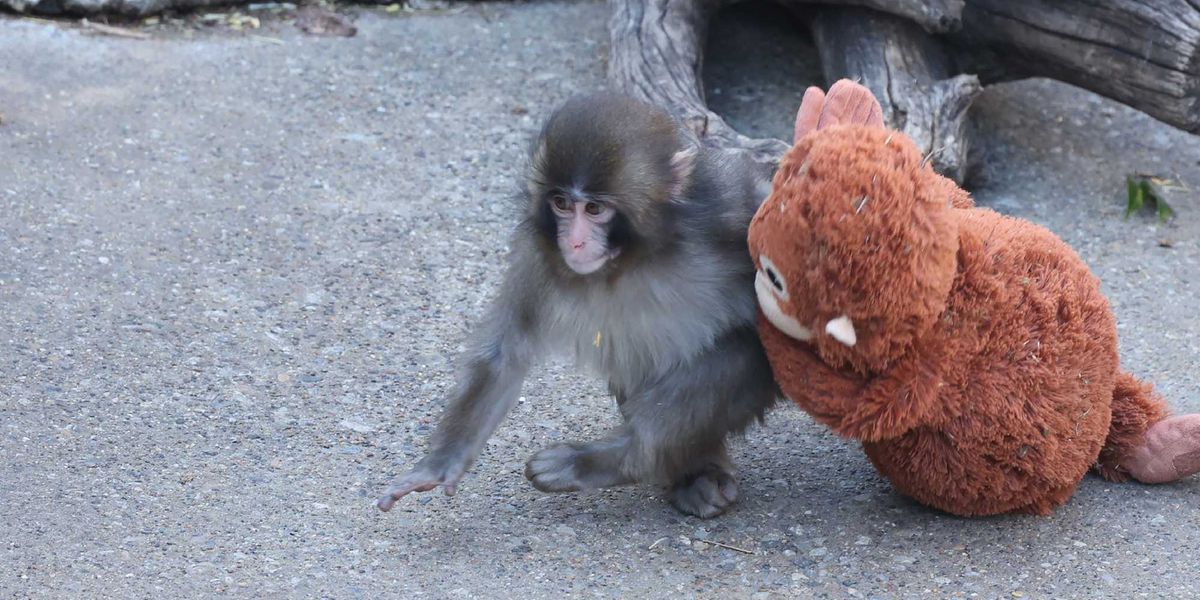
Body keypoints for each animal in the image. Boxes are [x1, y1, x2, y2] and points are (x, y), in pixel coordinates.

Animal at [376, 92, 779, 518]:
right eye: (561, 204)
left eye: (595, 209)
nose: (575, 242)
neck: (637, 257)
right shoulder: (538, 254)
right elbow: (505, 353)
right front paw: (440, 464)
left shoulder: (731, 208)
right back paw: (692, 472)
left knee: (740, 352)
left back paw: (615, 459)